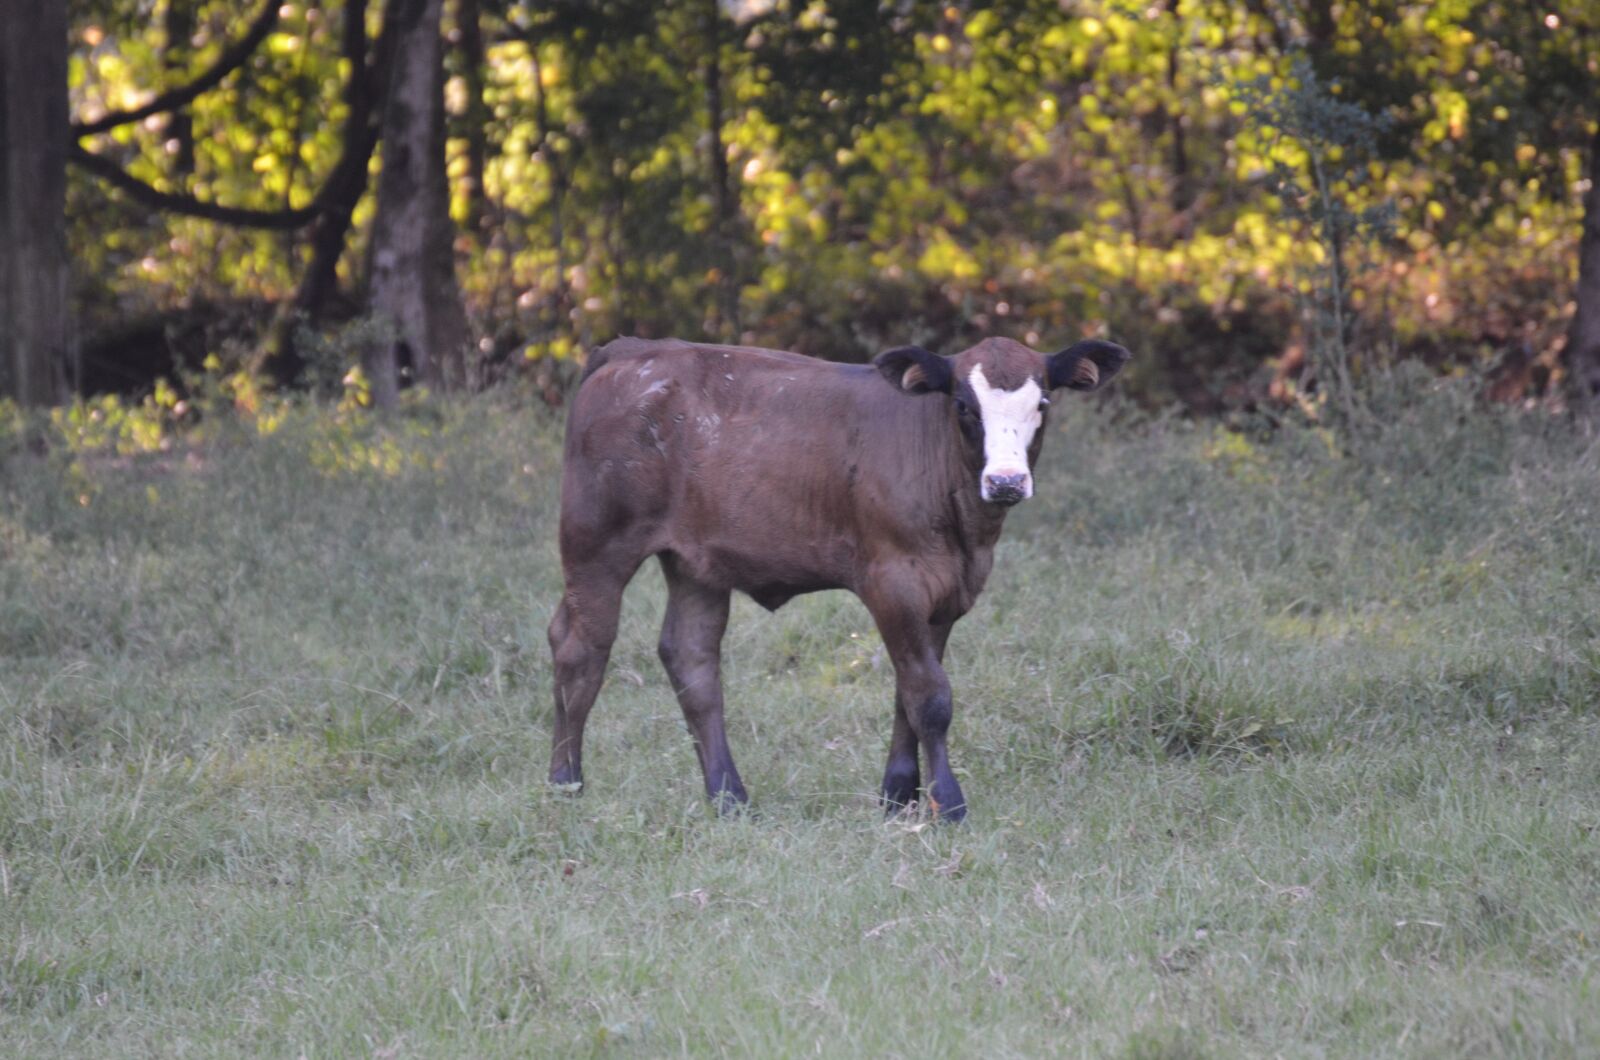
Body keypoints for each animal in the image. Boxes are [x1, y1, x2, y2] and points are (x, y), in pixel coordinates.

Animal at [547, 335, 1130, 821]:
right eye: (964, 406)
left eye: (1043, 404)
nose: (1006, 481)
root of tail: (633, 348)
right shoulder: (892, 582)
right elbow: (931, 697)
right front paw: (947, 802)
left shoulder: (945, 592)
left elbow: (908, 691)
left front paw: (898, 795)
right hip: (597, 543)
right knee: (580, 648)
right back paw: (565, 784)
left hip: (697, 563)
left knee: (690, 658)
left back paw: (729, 797)